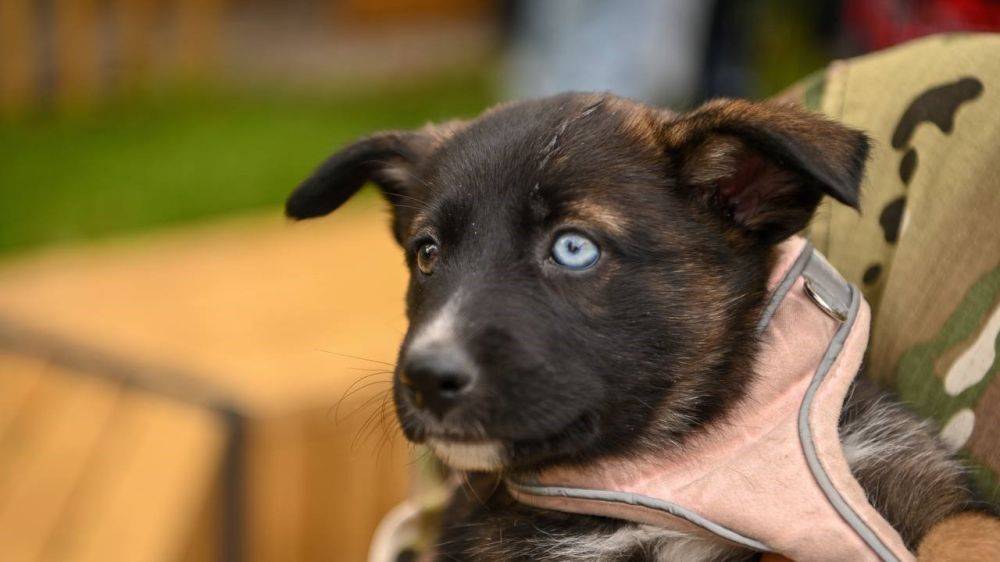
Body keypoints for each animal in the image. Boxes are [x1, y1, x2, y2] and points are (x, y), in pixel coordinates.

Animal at [286, 94, 972, 556]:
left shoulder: (899, 473)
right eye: (427, 254)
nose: (426, 377)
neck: (671, 460)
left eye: (573, 249)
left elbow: (964, 529)